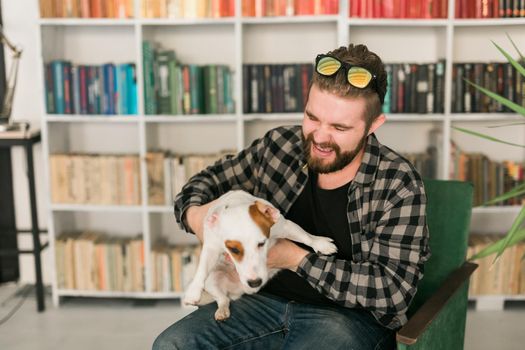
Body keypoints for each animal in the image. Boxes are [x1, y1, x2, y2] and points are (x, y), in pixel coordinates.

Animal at [182, 190, 338, 322]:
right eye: (233, 249)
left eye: (262, 243)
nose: (255, 282)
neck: (236, 203)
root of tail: (240, 292)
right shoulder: (212, 246)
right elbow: (202, 268)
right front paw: (193, 291)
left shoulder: (284, 226)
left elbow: (305, 236)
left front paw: (320, 243)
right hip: (212, 280)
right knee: (223, 299)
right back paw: (222, 310)